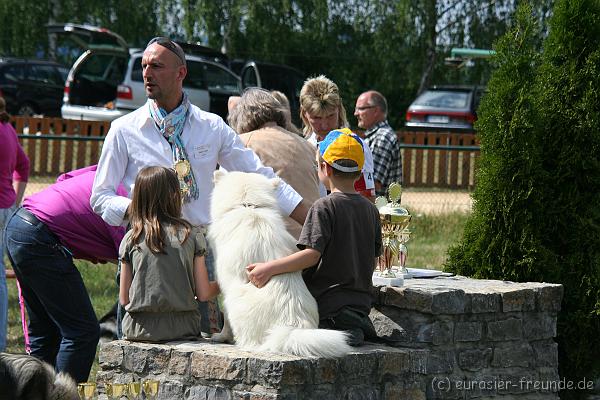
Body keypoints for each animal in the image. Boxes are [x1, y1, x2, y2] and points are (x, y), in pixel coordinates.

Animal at [207, 170, 352, 358]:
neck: (248, 206)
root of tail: (291, 327)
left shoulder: (226, 282)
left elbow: (224, 317)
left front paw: (220, 336)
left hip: (236, 301)